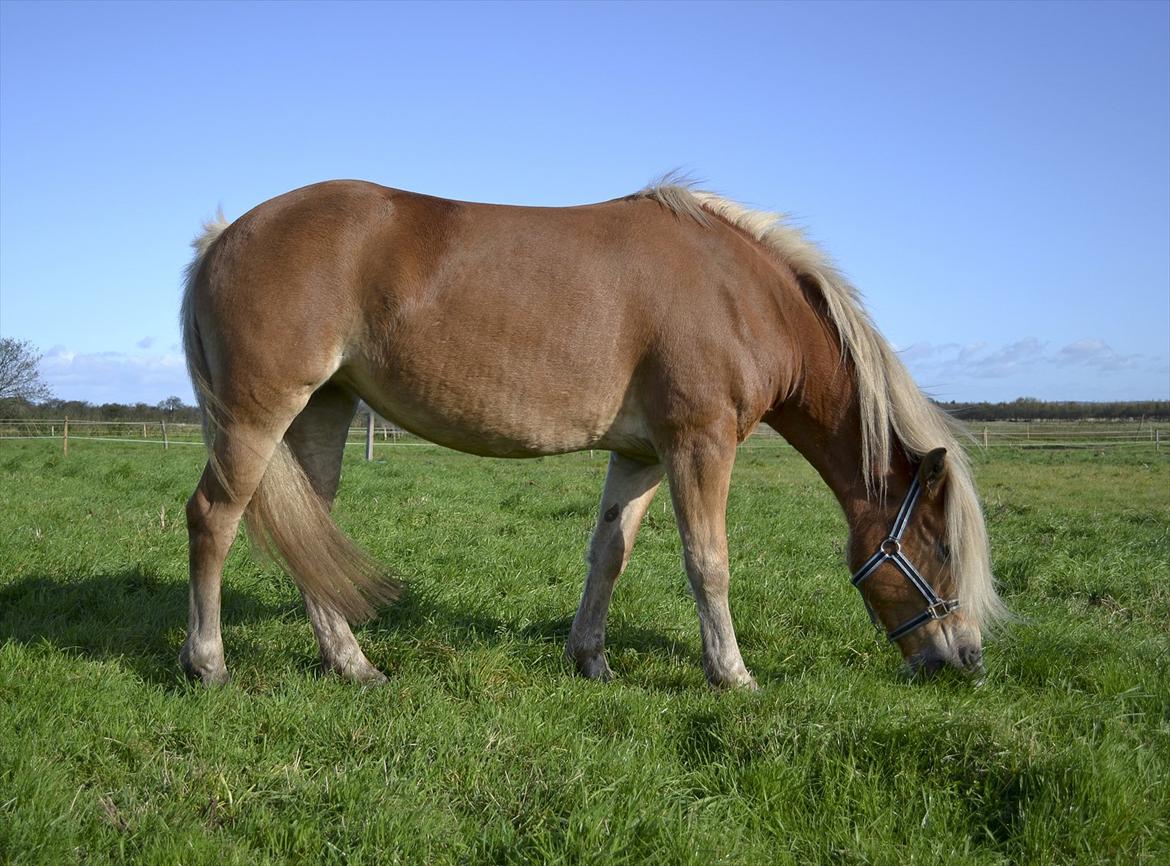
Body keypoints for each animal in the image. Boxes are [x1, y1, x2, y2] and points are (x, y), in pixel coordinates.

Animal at [180, 177, 1006, 688]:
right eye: (939, 549)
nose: (965, 657)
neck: (740, 296)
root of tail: (222, 238)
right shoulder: (699, 442)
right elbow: (708, 562)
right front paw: (732, 673)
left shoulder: (641, 454)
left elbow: (609, 555)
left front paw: (592, 660)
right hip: (260, 415)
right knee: (214, 518)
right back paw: (208, 662)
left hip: (324, 409)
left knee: (309, 537)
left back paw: (352, 665)